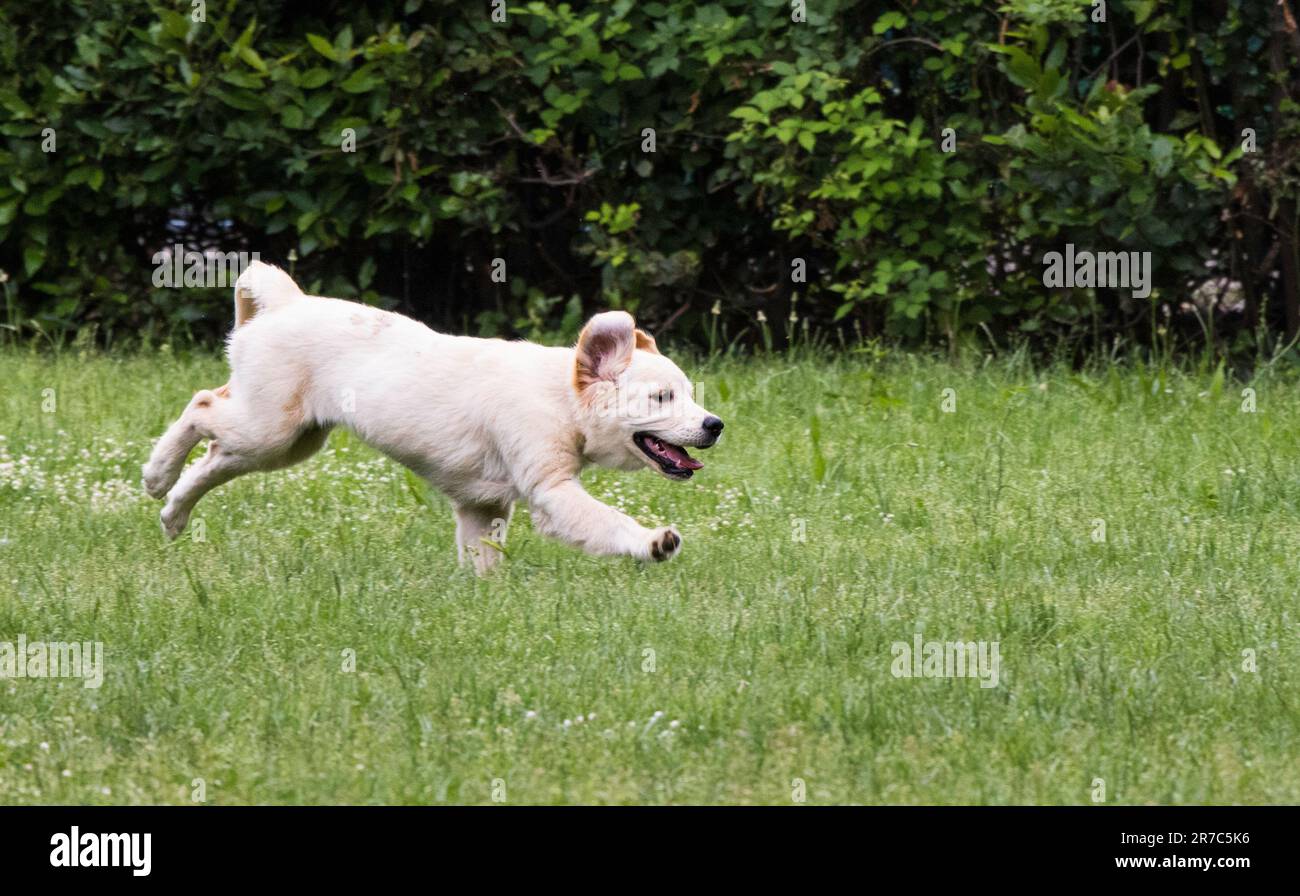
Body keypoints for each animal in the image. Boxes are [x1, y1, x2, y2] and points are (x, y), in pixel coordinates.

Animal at [149, 258, 733, 572]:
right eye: (662, 398)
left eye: (690, 394)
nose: (715, 426)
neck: (560, 398)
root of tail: (289, 301)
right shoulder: (551, 491)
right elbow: (609, 522)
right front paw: (654, 543)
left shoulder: (483, 505)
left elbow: (482, 559)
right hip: (269, 428)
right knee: (201, 405)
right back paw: (156, 474)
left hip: (289, 442)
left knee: (214, 456)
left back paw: (173, 514)